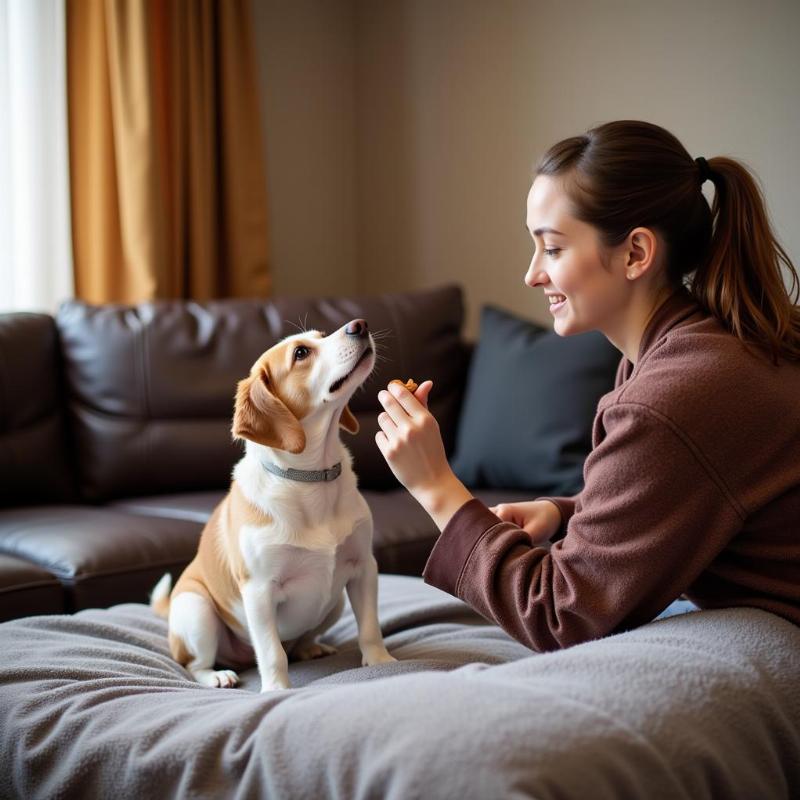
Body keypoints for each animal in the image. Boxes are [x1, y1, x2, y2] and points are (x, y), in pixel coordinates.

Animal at [148, 316, 396, 692]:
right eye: (301, 353)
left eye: (322, 336)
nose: (360, 325)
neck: (310, 479)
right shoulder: (259, 591)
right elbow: (271, 652)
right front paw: (278, 690)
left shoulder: (363, 566)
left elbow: (369, 626)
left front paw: (380, 661)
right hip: (197, 610)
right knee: (194, 664)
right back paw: (217, 675)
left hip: (335, 601)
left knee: (300, 641)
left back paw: (311, 648)